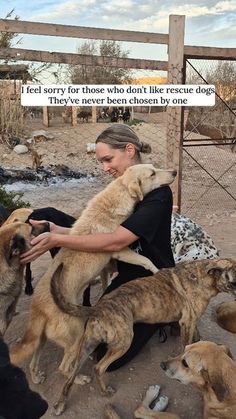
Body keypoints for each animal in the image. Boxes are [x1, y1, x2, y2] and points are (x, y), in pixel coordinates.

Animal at [49, 258, 236, 416]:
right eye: (234, 281)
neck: (202, 276)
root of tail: (98, 308)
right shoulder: (187, 322)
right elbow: (187, 343)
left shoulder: (191, 322)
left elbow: (198, 339)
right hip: (123, 343)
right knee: (98, 368)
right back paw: (104, 392)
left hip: (87, 346)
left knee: (70, 376)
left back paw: (60, 404)